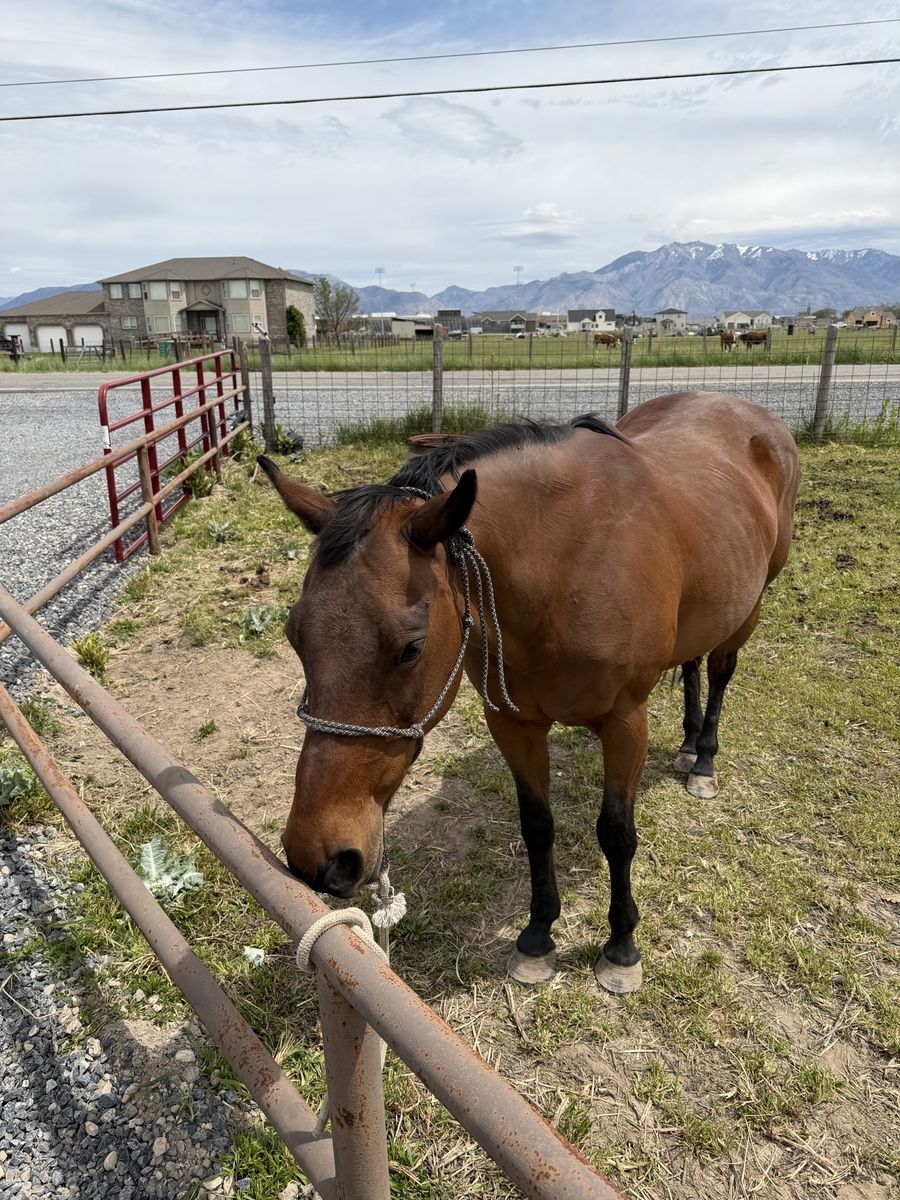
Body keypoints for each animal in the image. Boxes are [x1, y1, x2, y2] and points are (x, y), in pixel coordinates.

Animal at [260, 392, 799, 995]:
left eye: (410, 648)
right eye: (294, 635)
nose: (318, 856)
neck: (566, 562)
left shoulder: (625, 723)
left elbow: (617, 833)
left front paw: (621, 946)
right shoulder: (513, 723)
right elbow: (537, 828)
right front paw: (538, 938)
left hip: (747, 611)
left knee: (721, 669)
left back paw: (702, 759)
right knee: (691, 664)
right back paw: (685, 747)